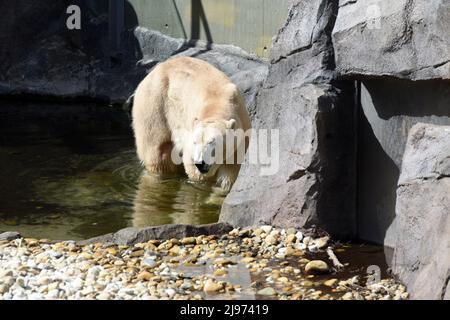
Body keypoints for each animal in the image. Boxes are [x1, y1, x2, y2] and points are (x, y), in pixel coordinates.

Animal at [132, 57, 251, 192]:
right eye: (195, 142)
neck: (218, 104)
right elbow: (193, 168)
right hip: (155, 105)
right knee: (158, 151)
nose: (201, 163)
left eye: (212, 141)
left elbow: (230, 171)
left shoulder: (241, 135)